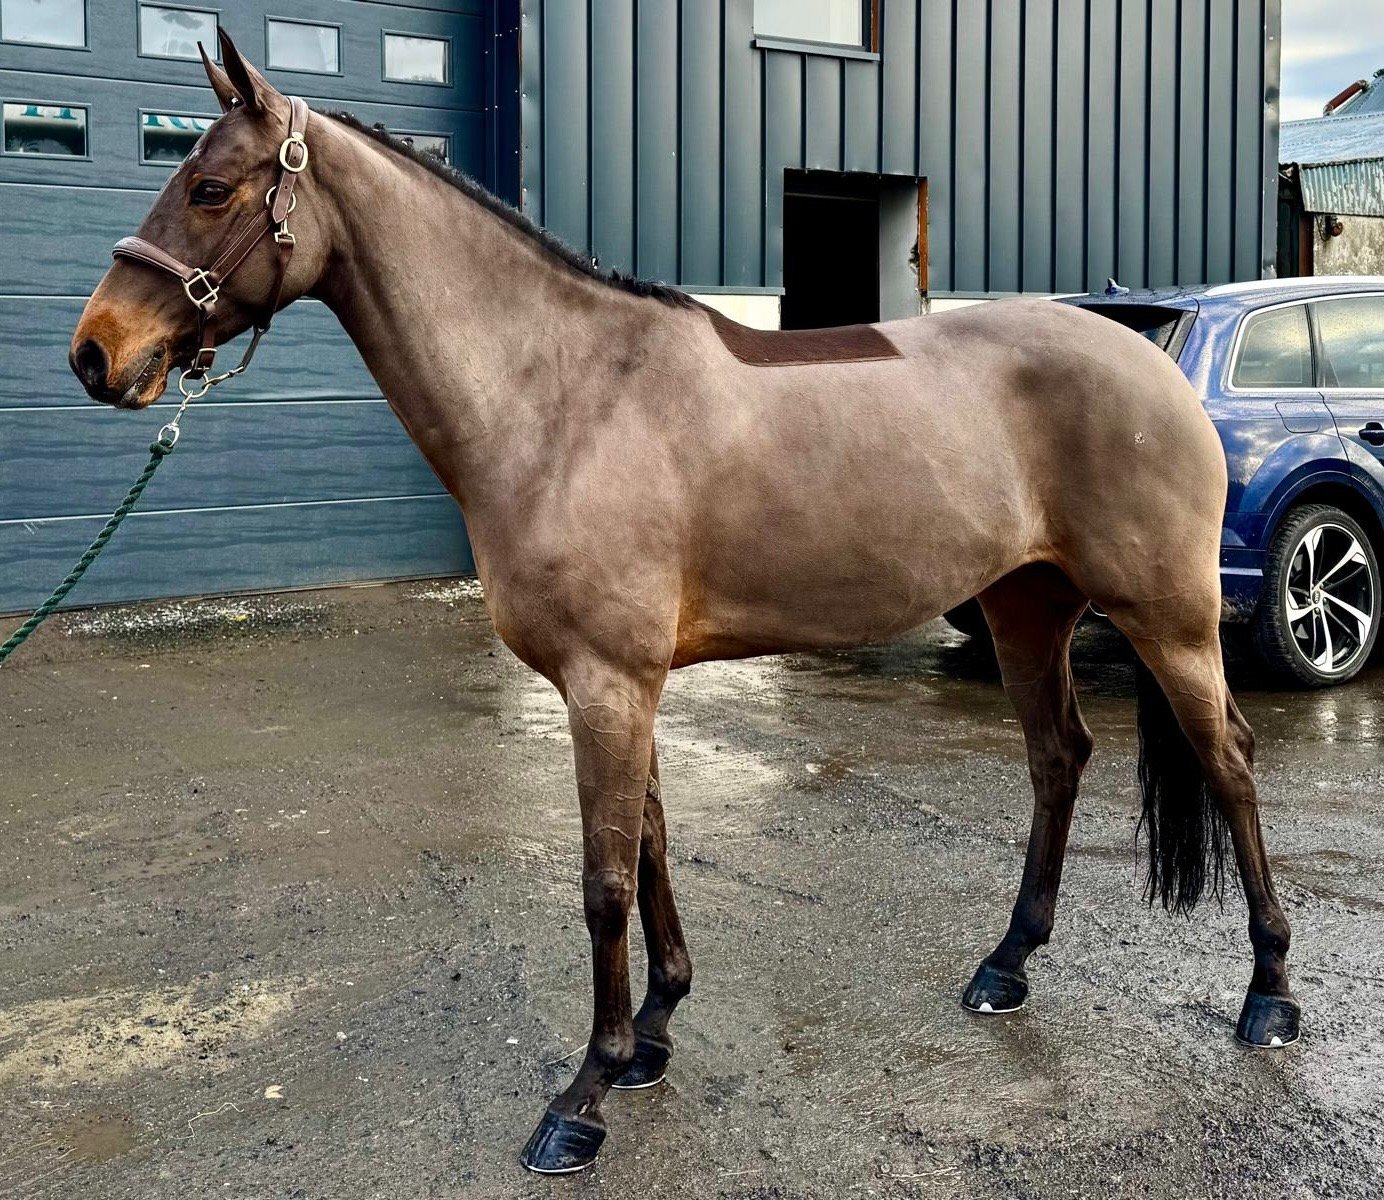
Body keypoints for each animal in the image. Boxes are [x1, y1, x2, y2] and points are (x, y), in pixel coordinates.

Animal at [68, 30, 1299, 1174]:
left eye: (209, 188)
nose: (95, 353)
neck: (563, 395)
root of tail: (1147, 359)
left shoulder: (608, 684)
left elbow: (605, 880)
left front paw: (585, 1093)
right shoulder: (623, 685)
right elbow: (653, 845)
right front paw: (655, 1031)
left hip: (1167, 619)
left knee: (1231, 762)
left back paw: (1269, 994)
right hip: (1024, 607)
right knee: (1058, 758)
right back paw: (1005, 966)